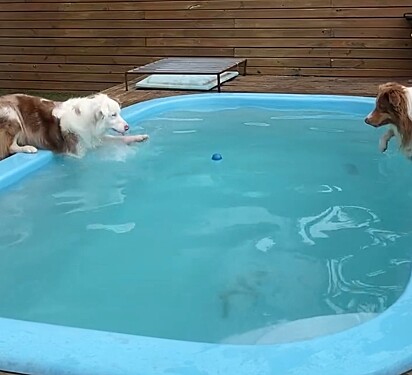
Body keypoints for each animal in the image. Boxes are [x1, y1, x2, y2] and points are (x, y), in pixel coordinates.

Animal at [0, 93, 150, 161]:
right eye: (113, 115)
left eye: (119, 113)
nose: (127, 127)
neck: (89, 121)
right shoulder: (76, 151)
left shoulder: (93, 138)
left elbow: (118, 139)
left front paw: (139, 137)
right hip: (13, 116)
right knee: (10, 146)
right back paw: (28, 148)